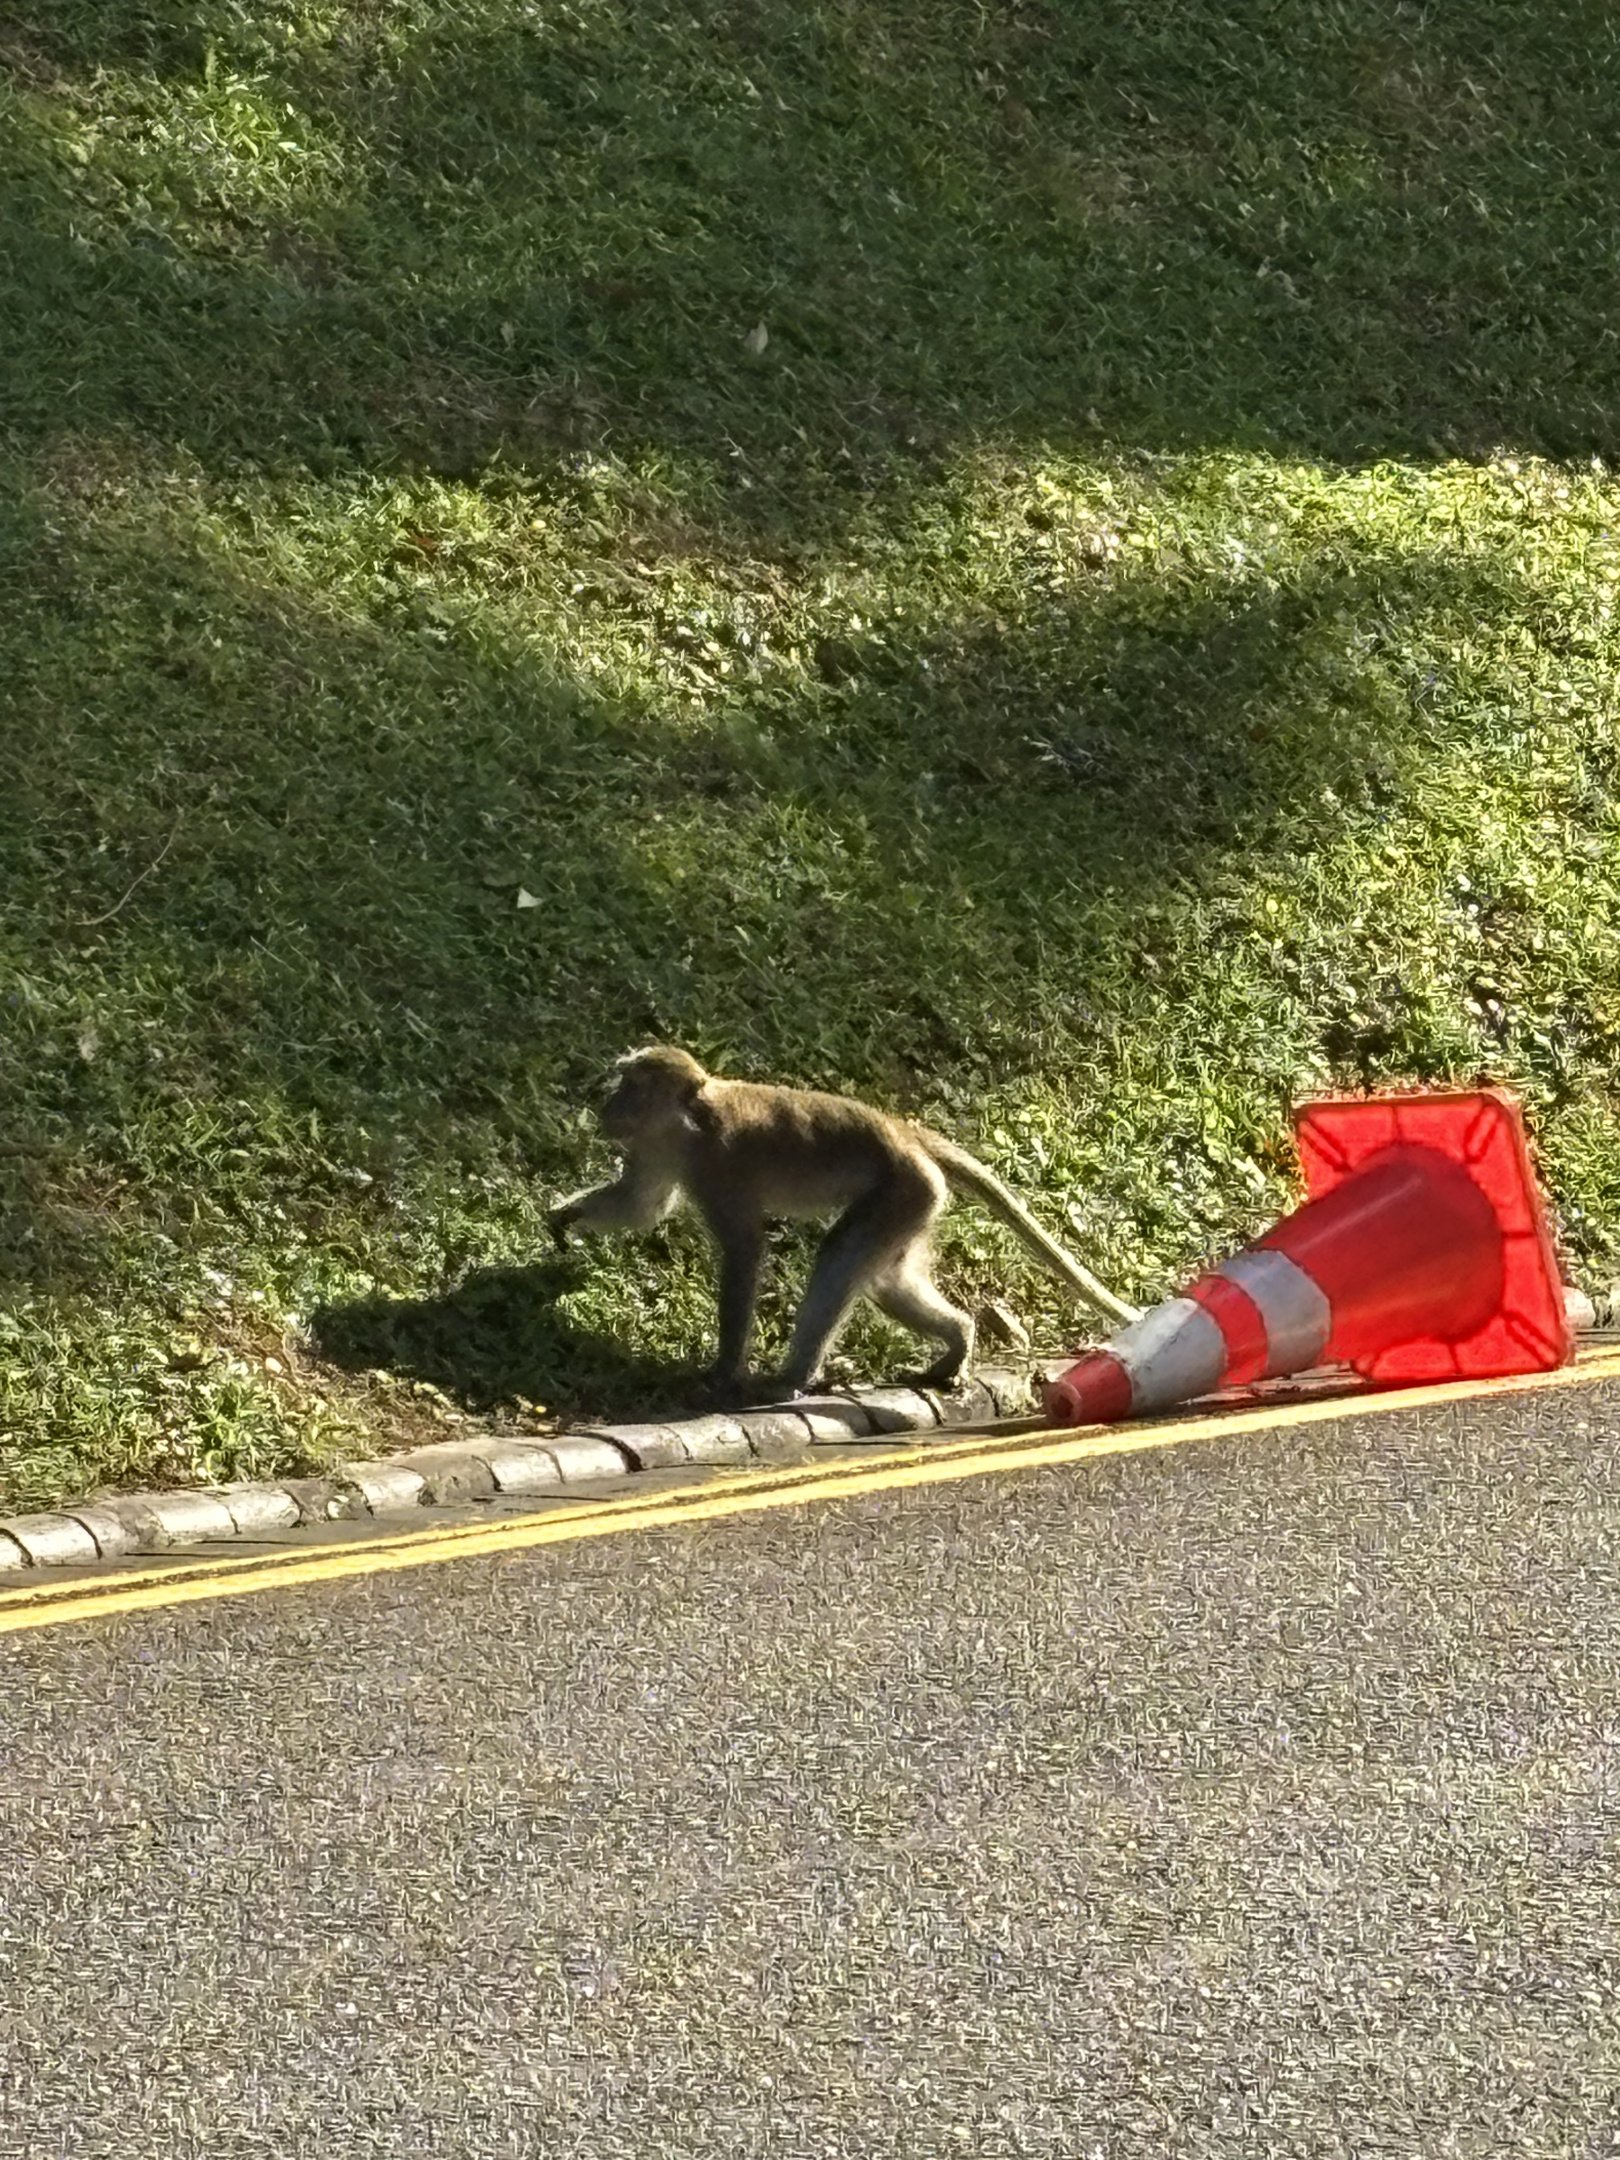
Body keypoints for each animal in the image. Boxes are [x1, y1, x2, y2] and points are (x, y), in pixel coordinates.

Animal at [549, 1045, 1138, 1401]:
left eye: (630, 1086)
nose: (606, 1106)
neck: (688, 1120)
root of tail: (906, 1132)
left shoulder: (718, 1167)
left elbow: (744, 1250)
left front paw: (724, 1370)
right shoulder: (658, 1149)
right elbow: (643, 1205)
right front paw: (565, 1215)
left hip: (903, 1190)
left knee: (838, 1257)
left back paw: (793, 1377)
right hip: (914, 1204)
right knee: (887, 1282)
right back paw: (959, 1339)